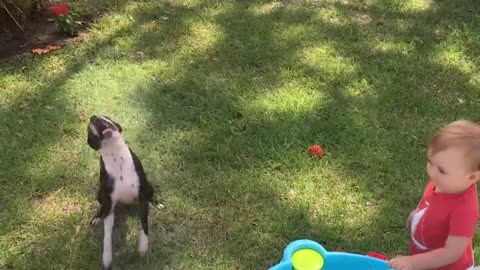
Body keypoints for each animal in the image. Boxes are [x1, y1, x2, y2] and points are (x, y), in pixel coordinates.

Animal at [86, 115, 154, 268]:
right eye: (88, 130)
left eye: (105, 116)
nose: (93, 117)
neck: (116, 156)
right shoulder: (109, 204)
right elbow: (107, 235)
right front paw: (106, 258)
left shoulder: (142, 197)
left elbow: (144, 225)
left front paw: (143, 247)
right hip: (100, 195)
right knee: (101, 209)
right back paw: (97, 217)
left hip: (149, 186)